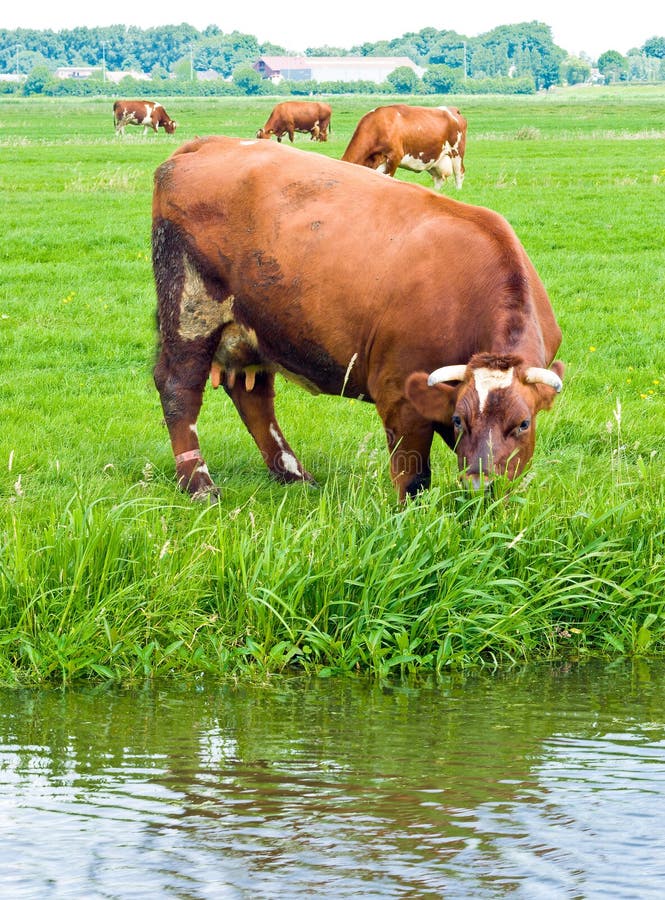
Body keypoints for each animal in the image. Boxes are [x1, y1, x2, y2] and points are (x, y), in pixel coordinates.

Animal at [153, 135, 564, 500]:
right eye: (460, 420)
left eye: (523, 423)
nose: (482, 485)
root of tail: (208, 143)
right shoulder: (400, 396)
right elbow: (413, 476)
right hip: (189, 310)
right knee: (178, 388)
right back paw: (198, 484)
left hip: (256, 326)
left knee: (253, 396)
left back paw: (293, 474)